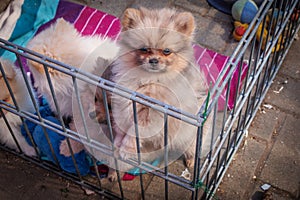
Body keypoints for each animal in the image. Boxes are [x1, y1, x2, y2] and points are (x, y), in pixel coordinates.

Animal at [111, 7, 212, 169]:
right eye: (144, 49)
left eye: (166, 51)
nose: (153, 60)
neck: (148, 80)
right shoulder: (123, 104)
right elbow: (121, 129)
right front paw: (116, 144)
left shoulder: (151, 116)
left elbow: (134, 132)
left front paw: (126, 149)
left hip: (192, 136)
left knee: (193, 148)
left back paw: (190, 161)